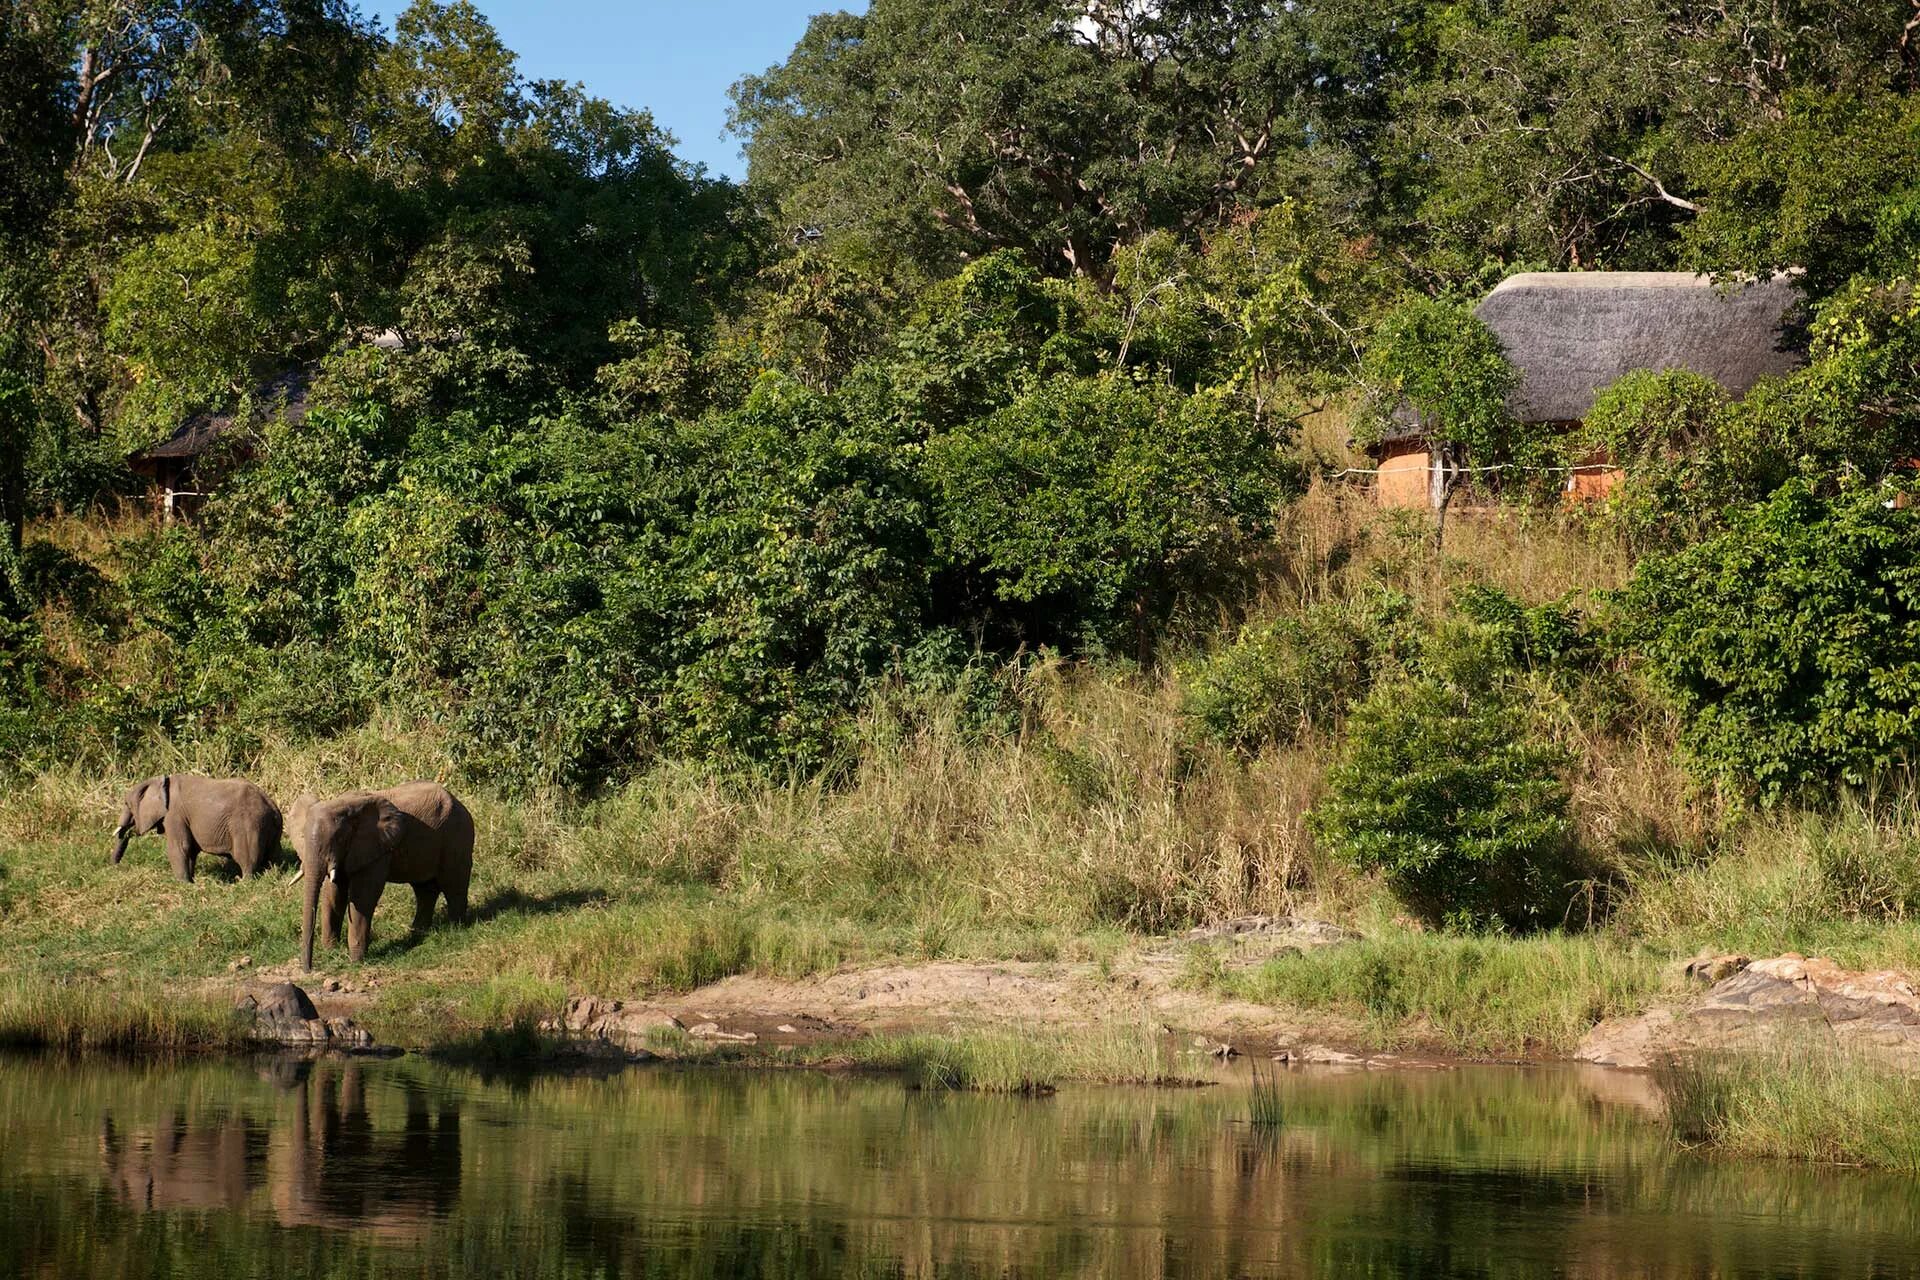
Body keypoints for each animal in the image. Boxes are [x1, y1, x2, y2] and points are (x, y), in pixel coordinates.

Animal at [113, 775, 284, 886]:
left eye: (127, 804)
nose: (115, 867)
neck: (160, 781)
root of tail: (272, 806)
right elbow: (190, 850)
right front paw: (191, 881)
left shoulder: (174, 815)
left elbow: (180, 847)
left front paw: (183, 885)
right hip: (270, 828)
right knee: (274, 856)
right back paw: (273, 875)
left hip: (248, 825)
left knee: (246, 857)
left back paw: (243, 883)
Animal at [291, 782, 476, 971]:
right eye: (302, 837)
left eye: (340, 839)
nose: (308, 969)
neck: (342, 805)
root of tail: (460, 803)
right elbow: (333, 893)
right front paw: (331, 950)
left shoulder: (376, 848)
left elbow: (363, 896)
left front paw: (356, 961)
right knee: (424, 890)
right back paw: (417, 934)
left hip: (457, 837)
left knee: (454, 885)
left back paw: (455, 929)